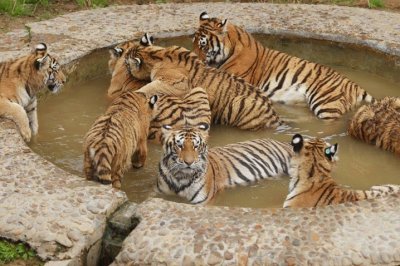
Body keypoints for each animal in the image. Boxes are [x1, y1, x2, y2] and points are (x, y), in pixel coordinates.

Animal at [123, 33, 282, 131]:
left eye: (127, 63)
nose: (125, 65)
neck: (155, 54)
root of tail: (275, 116)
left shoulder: (177, 83)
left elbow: (151, 86)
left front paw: (137, 93)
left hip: (239, 103)